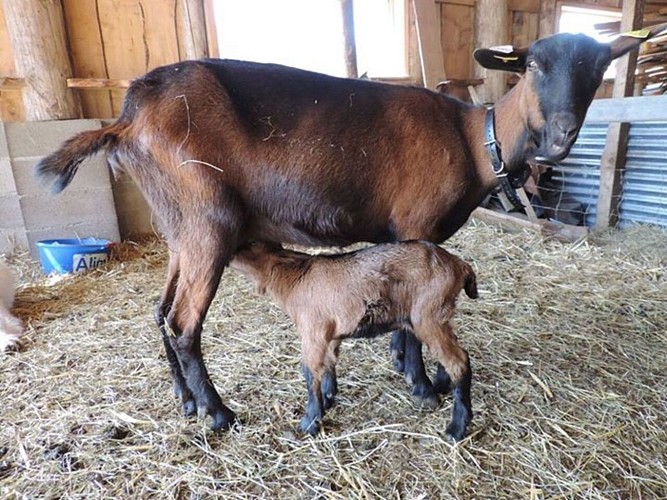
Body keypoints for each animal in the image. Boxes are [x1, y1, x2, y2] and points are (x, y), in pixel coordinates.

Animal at [230, 240, 478, 440]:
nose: (229, 254)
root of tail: (459, 265)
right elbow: (329, 362)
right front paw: (328, 398)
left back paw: (456, 428)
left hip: (428, 316)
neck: (291, 276)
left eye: (249, 243)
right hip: (440, 316)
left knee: (458, 361)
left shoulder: (312, 331)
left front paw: (310, 422)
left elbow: (310, 372)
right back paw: (440, 387)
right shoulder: (330, 333)